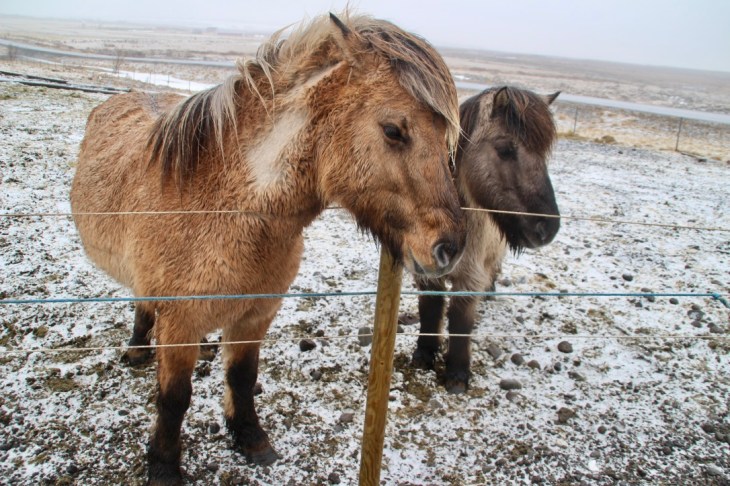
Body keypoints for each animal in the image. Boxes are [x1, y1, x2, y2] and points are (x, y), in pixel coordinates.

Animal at [70, 12, 465, 484]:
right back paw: (136, 349)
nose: (450, 248)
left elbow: (242, 377)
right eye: (394, 131)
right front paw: (164, 465)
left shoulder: (255, 314)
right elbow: (174, 397)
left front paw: (250, 438)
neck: (225, 208)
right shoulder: (180, 322)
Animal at [411, 86, 561, 394]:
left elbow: (460, 322)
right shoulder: (426, 273)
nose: (548, 229)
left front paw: (457, 374)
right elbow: (429, 309)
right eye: (505, 149)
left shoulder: (469, 277)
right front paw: (424, 353)